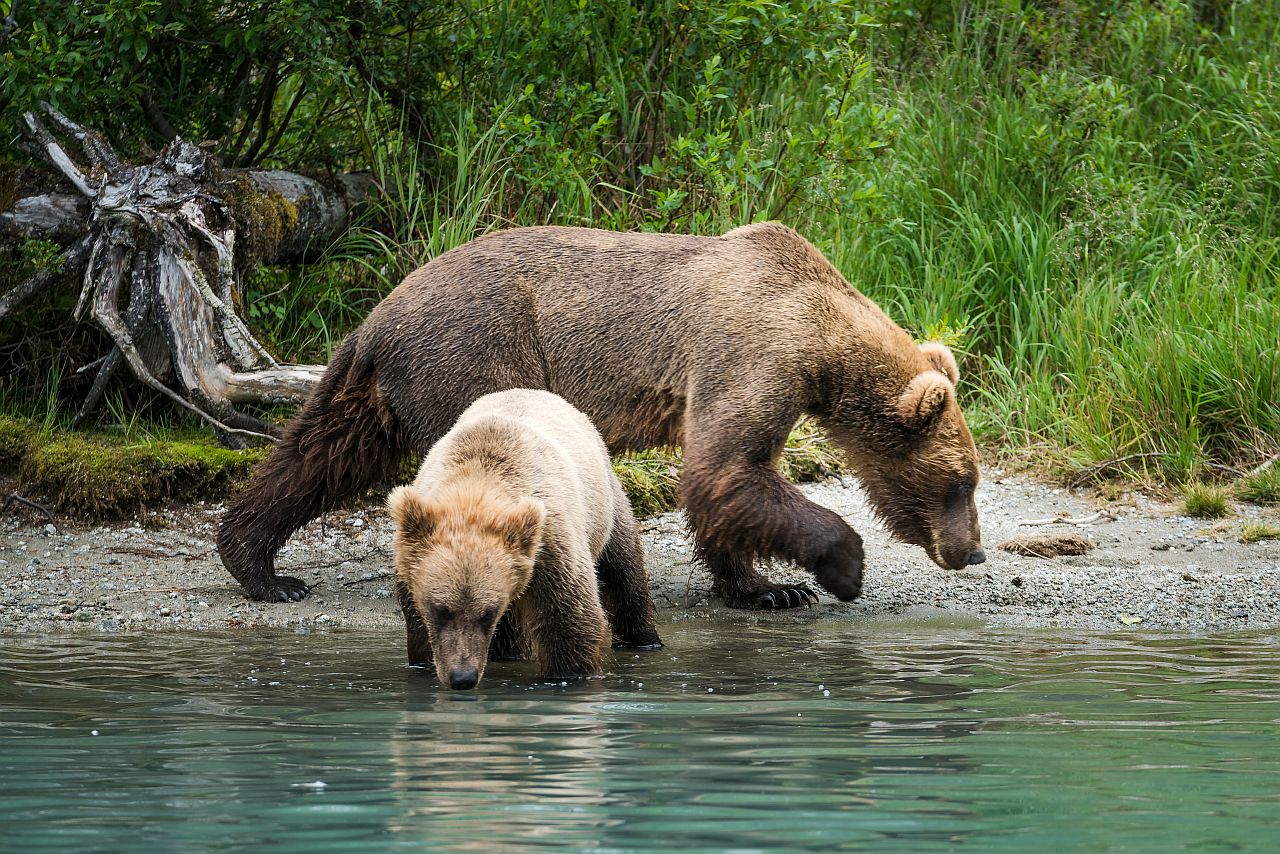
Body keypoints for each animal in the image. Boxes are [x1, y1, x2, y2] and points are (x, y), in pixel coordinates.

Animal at [217, 220, 988, 606]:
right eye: (961, 483)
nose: (973, 550)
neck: (822, 335)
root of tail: (378, 316)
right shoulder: (750, 350)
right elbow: (726, 470)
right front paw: (840, 569)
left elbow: (729, 482)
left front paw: (764, 588)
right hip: (474, 355)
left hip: (377, 388)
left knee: (318, 455)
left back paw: (261, 568)